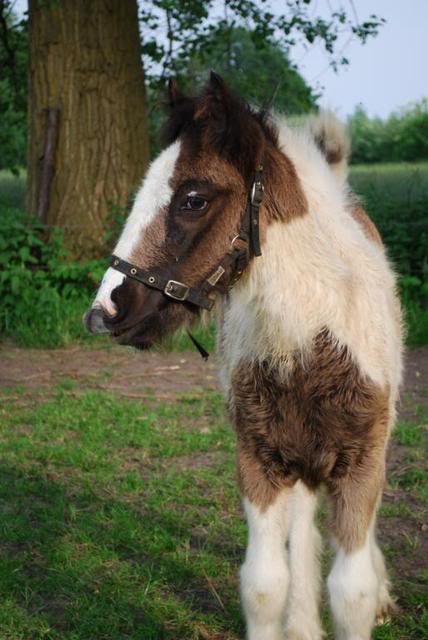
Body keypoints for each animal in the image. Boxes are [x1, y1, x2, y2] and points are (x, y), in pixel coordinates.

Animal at [85, 72, 402, 636]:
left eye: (193, 199)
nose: (104, 311)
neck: (307, 346)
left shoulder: (362, 462)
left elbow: (352, 593)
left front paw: (371, 598)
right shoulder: (259, 458)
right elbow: (263, 585)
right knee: (301, 526)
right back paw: (303, 624)